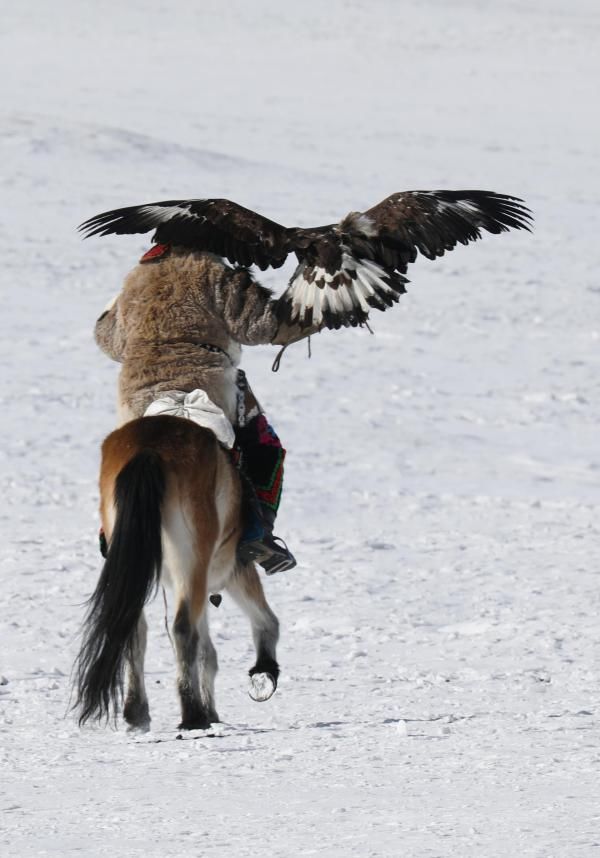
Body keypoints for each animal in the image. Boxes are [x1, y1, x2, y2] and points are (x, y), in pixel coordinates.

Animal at [74, 414, 280, 728]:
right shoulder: (232, 570)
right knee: (183, 629)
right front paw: (264, 671)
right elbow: (264, 621)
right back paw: (193, 715)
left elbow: (207, 651)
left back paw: (137, 712)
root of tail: (148, 450)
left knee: (135, 628)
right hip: (193, 562)